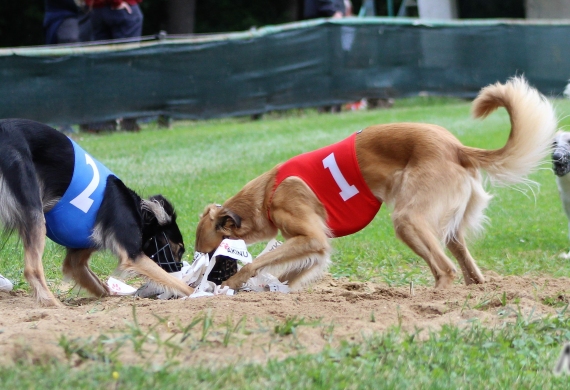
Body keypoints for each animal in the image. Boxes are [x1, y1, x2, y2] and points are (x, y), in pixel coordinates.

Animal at [0, 117, 193, 306]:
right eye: (178, 249)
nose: (178, 268)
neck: (137, 210)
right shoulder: (133, 255)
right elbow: (176, 283)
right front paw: (196, 292)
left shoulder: (78, 258)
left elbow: (99, 286)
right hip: (35, 211)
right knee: (32, 269)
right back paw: (53, 304)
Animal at [194, 77, 556, 290]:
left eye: (210, 253)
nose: (199, 272)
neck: (268, 193)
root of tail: (456, 146)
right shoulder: (316, 247)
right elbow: (291, 272)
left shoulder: (310, 236)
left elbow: (258, 263)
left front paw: (234, 282)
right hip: (446, 228)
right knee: (466, 266)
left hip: (408, 220)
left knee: (445, 270)